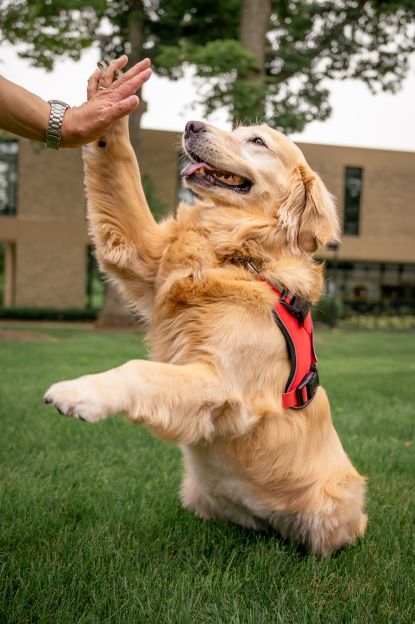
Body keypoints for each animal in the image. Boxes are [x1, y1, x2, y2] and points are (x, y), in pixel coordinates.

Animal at [42, 91, 368, 556]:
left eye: (257, 141)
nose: (191, 126)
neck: (239, 254)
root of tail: (260, 519)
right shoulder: (144, 256)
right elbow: (121, 177)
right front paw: (110, 103)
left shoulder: (222, 382)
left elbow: (138, 371)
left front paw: (79, 393)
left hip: (338, 505)